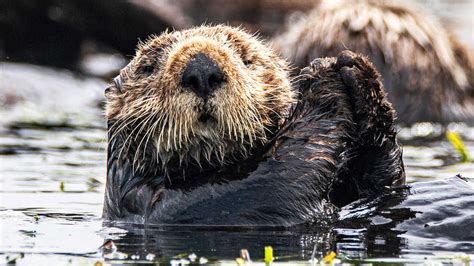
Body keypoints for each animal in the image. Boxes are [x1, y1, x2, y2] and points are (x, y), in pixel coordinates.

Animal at [103, 25, 404, 225]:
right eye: (148, 67)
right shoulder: (171, 205)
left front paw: (359, 74)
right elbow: (275, 178)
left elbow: (385, 189)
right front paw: (321, 79)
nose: (202, 69)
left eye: (246, 58)